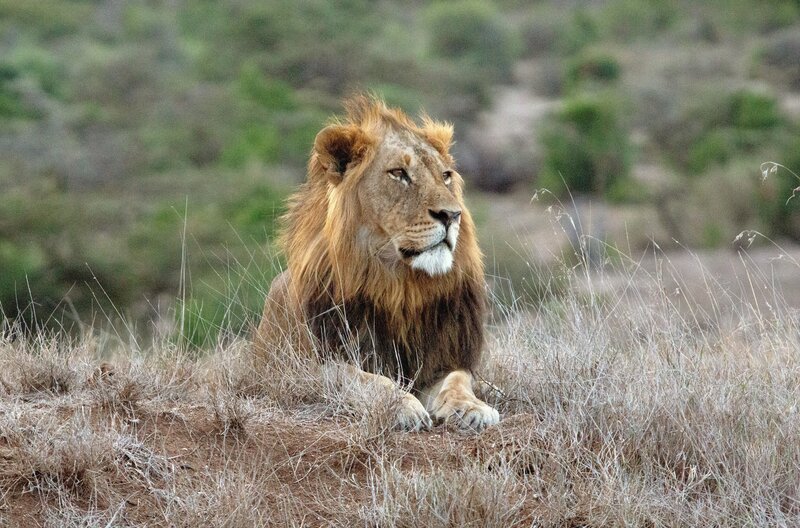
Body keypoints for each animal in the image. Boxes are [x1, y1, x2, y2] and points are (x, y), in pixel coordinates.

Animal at [254, 95, 499, 432]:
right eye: (398, 173)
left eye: (446, 176)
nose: (452, 215)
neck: (399, 288)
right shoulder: (313, 365)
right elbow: (364, 379)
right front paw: (401, 406)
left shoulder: (443, 357)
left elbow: (458, 380)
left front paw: (472, 408)